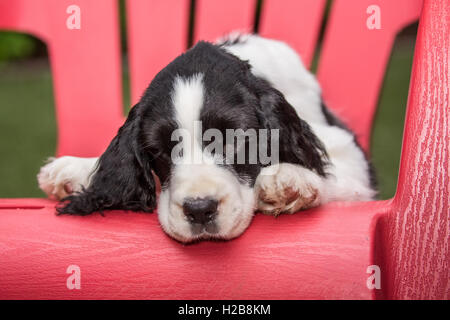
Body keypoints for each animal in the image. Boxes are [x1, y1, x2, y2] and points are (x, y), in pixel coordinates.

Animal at [37, 33, 376, 242]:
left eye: (235, 140)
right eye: (161, 151)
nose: (199, 210)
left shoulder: (348, 152)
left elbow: (334, 174)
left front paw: (290, 179)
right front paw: (73, 170)